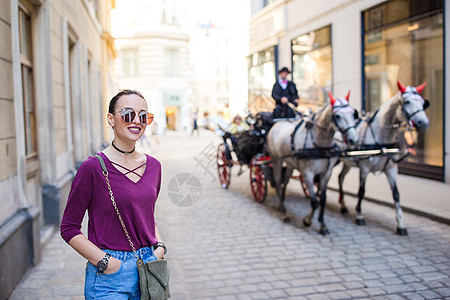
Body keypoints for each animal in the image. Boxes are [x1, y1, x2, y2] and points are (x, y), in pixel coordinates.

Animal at [268, 91, 358, 234]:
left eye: (353, 113)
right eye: (337, 116)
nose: (353, 139)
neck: (320, 144)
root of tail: (277, 124)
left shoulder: (326, 173)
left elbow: (322, 199)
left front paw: (323, 225)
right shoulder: (308, 174)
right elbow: (315, 201)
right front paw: (307, 220)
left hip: (290, 163)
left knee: (285, 182)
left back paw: (282, 204)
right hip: (277, 160)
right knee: (277, 182)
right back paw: (284, 212)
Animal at [338, 81, 428, 234]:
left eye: (422, 102)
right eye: (407, 101)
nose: (424, 122)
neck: (381, 138)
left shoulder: (391, 169)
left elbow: (396, 194)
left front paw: (401, 224)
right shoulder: (364, 168)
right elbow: (361, 192)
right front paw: (359, 216)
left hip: (346, 162)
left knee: (340, 177)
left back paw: (343, 206)